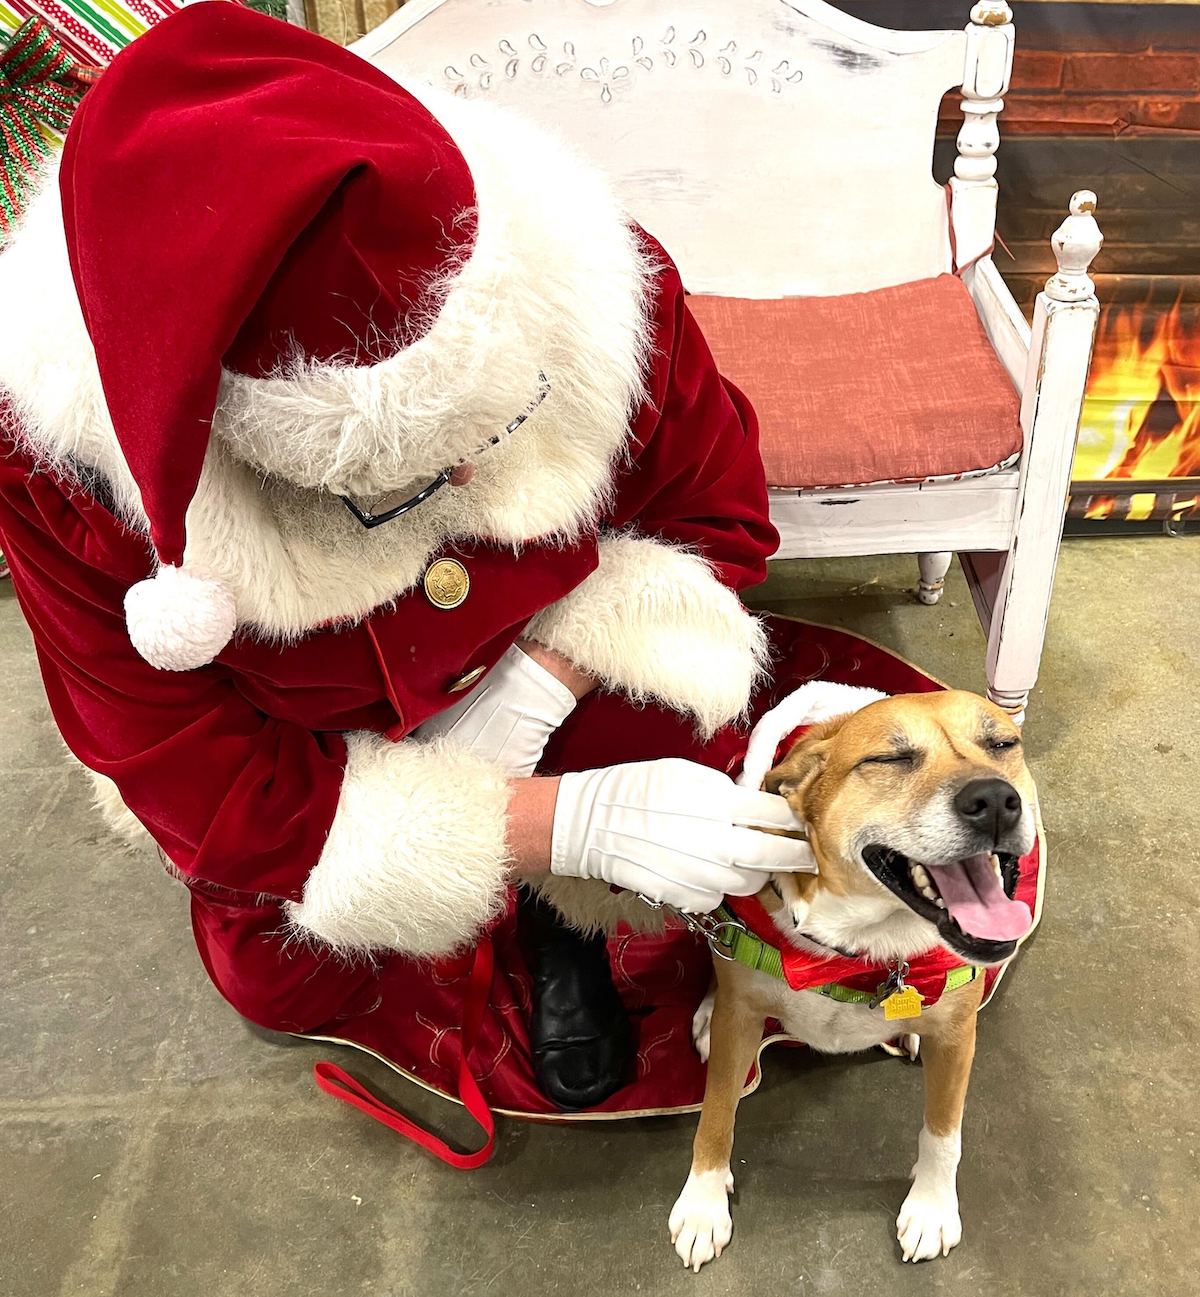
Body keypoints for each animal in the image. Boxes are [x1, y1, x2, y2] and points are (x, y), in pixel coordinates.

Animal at [669, 690, 1032, 1265]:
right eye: (890, 759)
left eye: (1002, 744)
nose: (996, 799)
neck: (861, 948)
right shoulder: (741, 1017)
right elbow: (717, 1110)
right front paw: (703, 1204)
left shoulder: (957, 1037)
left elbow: (943, 1133)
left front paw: (932, 1207)